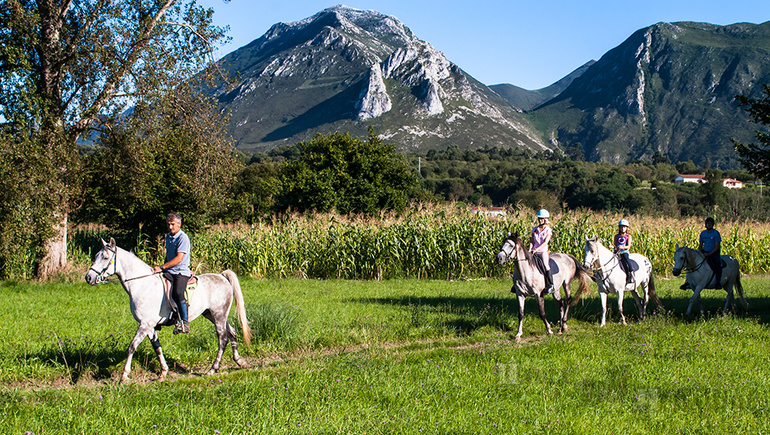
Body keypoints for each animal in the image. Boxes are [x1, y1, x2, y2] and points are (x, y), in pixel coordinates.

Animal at [84, 237, 252, 384]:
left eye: (105, 257)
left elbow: (132, 346)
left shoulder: (145, 324)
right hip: (211, 314)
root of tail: (222, 276)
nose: (89, 278)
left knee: (222, 338)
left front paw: (124, 376)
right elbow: (157, 347)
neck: (141, 284)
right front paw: (163, 372)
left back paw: (213, 369)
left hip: (218, 314)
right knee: (232, 331)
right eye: (96, 256)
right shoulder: (149, 325)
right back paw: (240, 361)